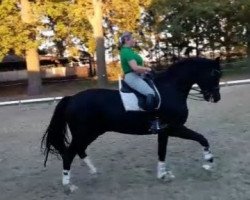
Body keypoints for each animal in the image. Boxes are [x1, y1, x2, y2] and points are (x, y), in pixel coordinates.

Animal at [42, 56, 222, 188]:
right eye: (214, 74)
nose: (216, 98)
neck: (171, 89)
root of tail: (72, 99)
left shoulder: (164, 131)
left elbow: (162, 152)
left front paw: (163, 175)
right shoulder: (175, 128)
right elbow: (201, 138)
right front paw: (209, 162)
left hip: (91, 133)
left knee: (79, 150)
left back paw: (94, 172)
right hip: (84, 133)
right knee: (69, 153)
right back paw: (68, 185)